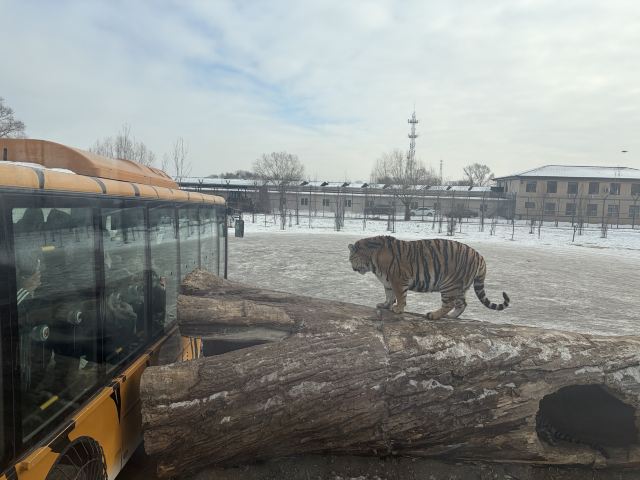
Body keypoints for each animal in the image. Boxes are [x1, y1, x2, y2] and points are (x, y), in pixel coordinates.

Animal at [348, 236, 510, 320]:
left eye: (351, 259)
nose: (352, 268)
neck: (372, 260)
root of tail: (480, 256)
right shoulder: (388, 282)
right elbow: (389, 295)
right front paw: (385, 305)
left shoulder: (397, 280)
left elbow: (400, 296)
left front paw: (398, 309)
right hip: (460, 287)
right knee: (462, 304)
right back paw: (452, 317)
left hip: (449, 284)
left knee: (449, 304)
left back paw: (433, 315)